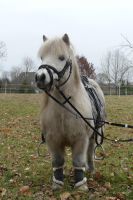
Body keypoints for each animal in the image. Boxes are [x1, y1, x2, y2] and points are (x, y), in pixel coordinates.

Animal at [35, 34, 105, 191]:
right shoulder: (53, 140)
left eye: (61, 57)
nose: (40, 77)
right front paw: (57, 184)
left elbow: (78, 162)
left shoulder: (81, 139)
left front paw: (81, 186)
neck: (65, 108)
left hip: (95, 134)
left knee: (90, 152)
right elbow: (57, 162)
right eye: (42, 57)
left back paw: (91, 170)